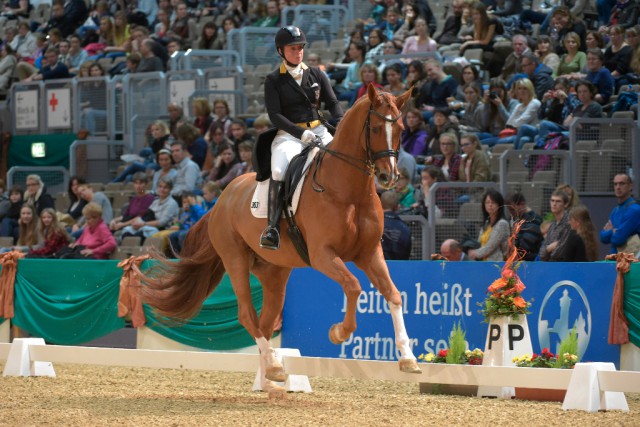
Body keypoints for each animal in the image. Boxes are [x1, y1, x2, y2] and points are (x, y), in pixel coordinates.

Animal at [141, 84, 422, 394]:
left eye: (400, 128)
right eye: (374, 127)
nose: (388, 176)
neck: (349, 191)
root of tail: (221, 199)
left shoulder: (370, 253)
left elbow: (393, 295)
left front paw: (408, 358)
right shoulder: (323, 255)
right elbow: (353, 286)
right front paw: (339, 332)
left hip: (274, 273)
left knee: (264, 322)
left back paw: (270, 377)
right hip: (235, 260)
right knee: (247, 316)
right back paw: (275, 368)